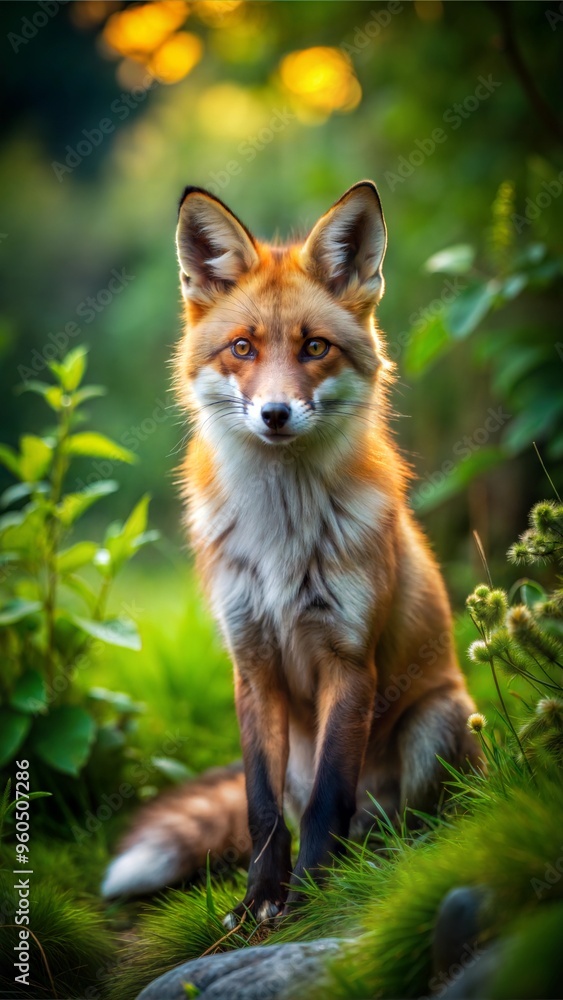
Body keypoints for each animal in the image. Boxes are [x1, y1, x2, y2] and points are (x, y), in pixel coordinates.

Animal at [102, 181, 480, 924]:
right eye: (243, 348)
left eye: (314, 347)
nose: (275, 414)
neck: (281, 537)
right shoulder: (251, 663)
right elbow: (261, 807)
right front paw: (258, 901)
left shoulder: (349, 659)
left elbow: (329, 801)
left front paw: (306, 898)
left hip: (437, 718)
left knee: (403, 823)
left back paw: (379, 861)